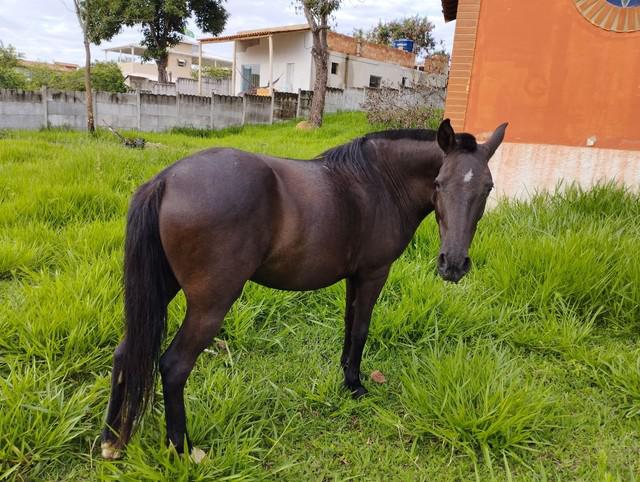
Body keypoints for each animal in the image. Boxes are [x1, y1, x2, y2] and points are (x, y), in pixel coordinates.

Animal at [101, 118, 504, 458]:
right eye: (438, 184)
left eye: (487, 188)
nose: (453, 264)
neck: (379, 182)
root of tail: (166, 179)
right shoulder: (374, 273)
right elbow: (361, 329)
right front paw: (357, 386)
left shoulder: (354, 276)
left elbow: (349, 327)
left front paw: (346, 377)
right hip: (210, 303)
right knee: (174, 366)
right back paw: (182, 448)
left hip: (162, 288)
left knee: (125, 352)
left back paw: (111, 440)